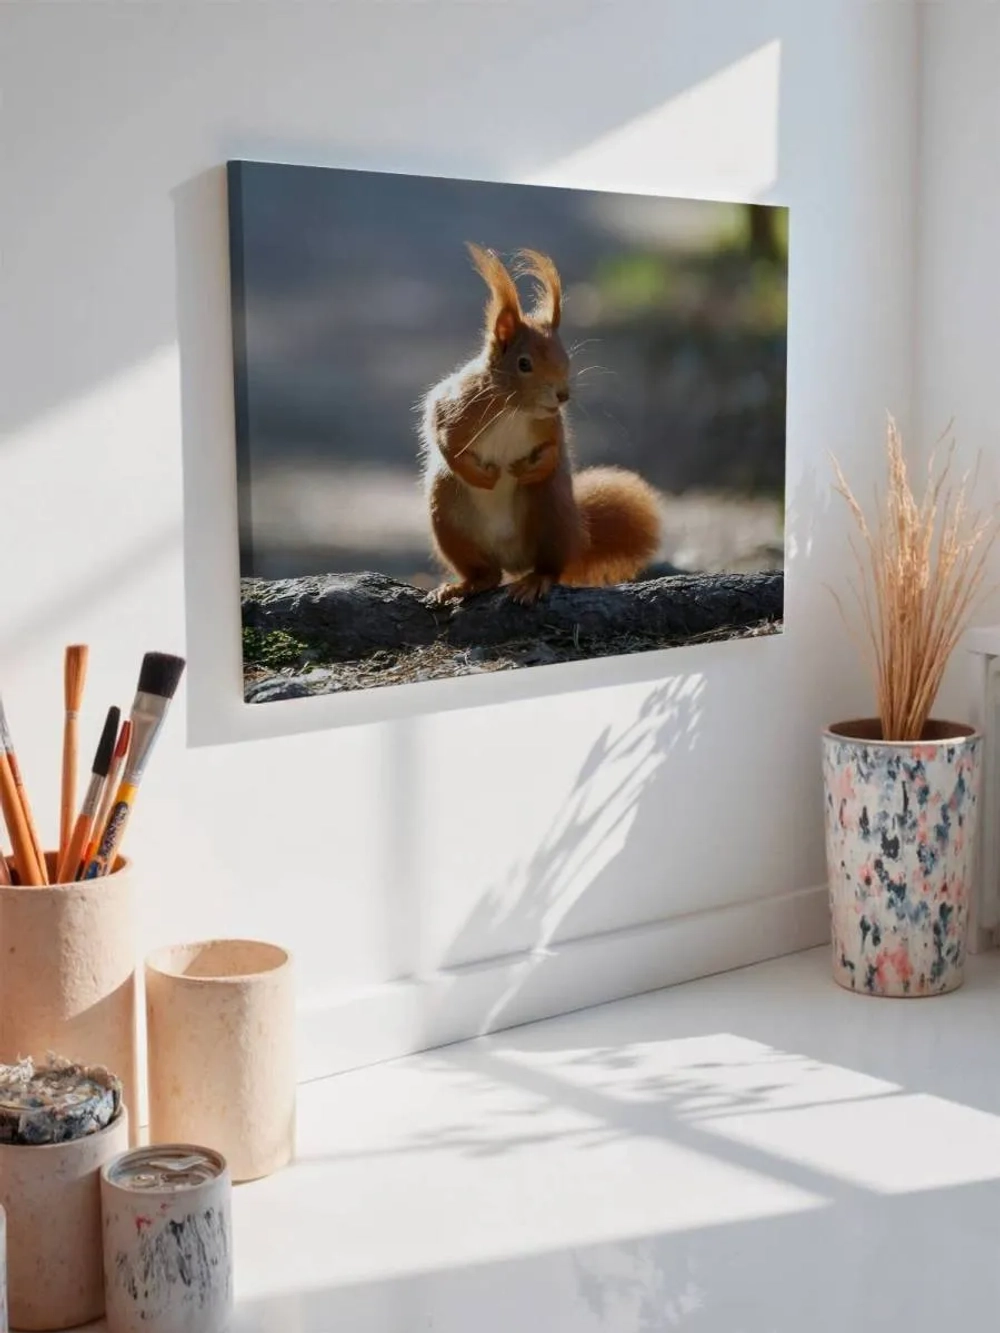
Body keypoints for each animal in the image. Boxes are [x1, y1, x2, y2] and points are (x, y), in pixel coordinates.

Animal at [418, 243, 662, 605]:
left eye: (565, 358)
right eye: (524, 364)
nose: (562, 395)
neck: (515, 409)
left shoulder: (550, 423)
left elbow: (554, 448)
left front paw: (528, 469)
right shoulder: (457, 406)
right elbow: (441, 436)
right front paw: (479, 475)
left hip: (551, 512)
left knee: (550, 566)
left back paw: (534, 581)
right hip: (448, 521)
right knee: (487, 574)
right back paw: (464, 585)